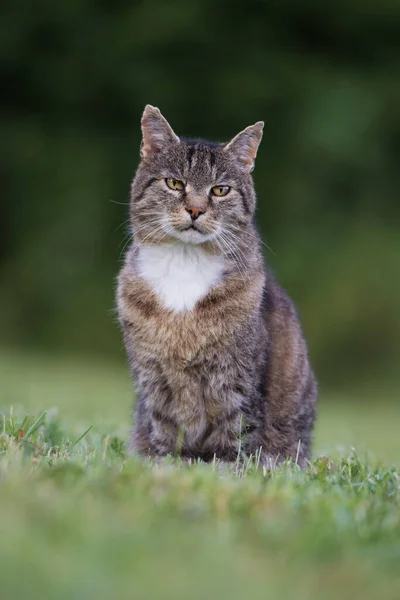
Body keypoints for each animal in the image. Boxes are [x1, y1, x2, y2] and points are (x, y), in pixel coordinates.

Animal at [117, 104, 318, 468]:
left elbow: (235, 436)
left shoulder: (236, 380)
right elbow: (164, 431)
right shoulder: (153, 379)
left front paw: (223, 470)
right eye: (174, 183)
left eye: (220, 190)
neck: (184, 264)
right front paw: (164, 466)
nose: (195, 210)